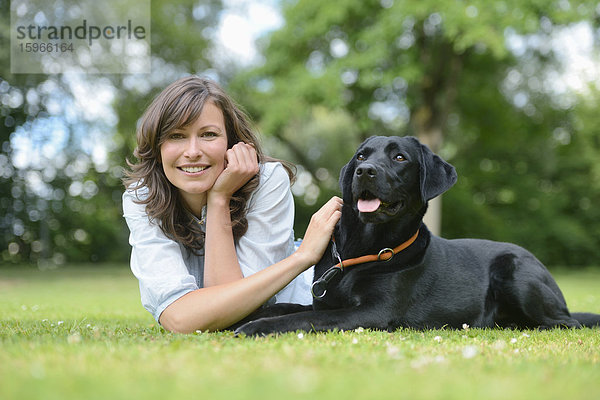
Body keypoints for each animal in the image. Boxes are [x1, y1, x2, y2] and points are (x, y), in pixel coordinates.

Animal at [236, 136, 600, 336]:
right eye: (361, 155)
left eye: (399, 157)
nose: (364, 171)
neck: (362, 249)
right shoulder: (323, 300)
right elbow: (287, 308)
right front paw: (249, 315)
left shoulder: (373, 312)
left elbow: (301, 318)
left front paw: (254, 327)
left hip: (514, 273)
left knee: (565, 323)